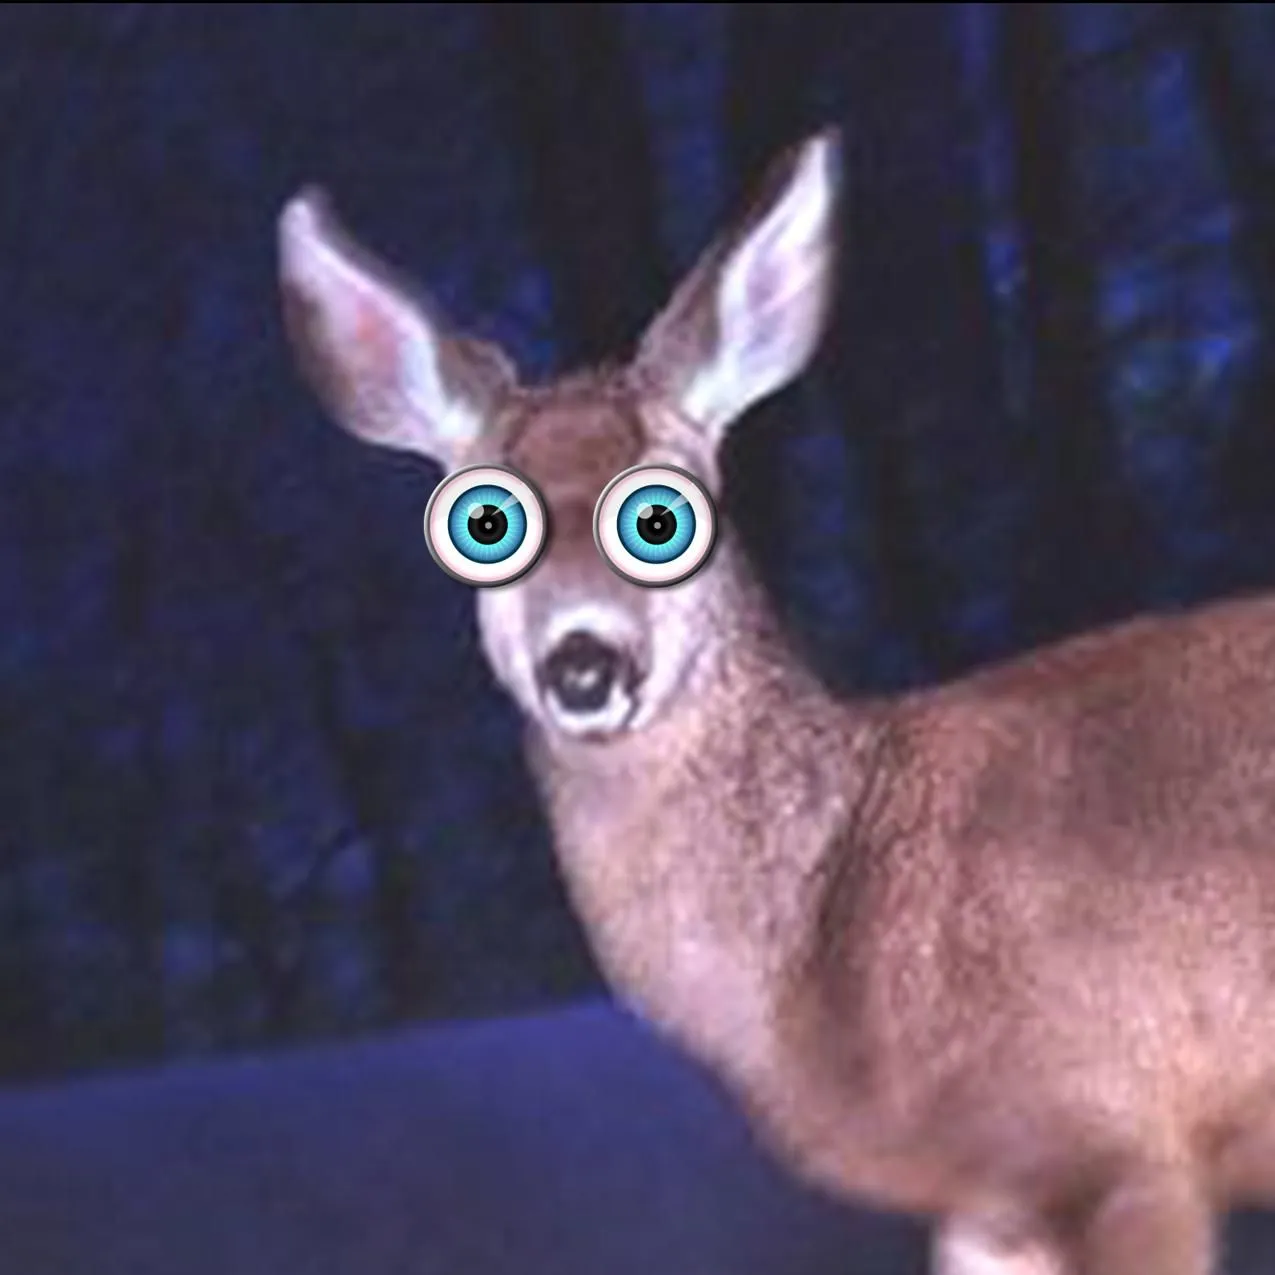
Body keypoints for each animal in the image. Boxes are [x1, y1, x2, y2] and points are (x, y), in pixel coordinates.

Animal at [276, 128, 1275, 1275]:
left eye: (661, 515)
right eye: (483, 521)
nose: (584, 665)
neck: (834, 918)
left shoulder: (1116, 1134)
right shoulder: (990, 1202)